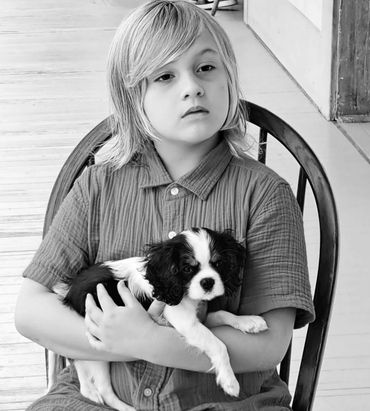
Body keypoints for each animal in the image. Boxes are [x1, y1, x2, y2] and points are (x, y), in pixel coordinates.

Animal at [50, 229, 268, 411]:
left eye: (218, 264)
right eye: (188, 269)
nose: (208, 282)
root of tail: (68, 291)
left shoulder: (201, 317)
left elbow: (224, 314)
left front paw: (249, 322)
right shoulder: (184, 320)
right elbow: (218, 345)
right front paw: (229, 381)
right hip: (97, 350)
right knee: (99, 385)